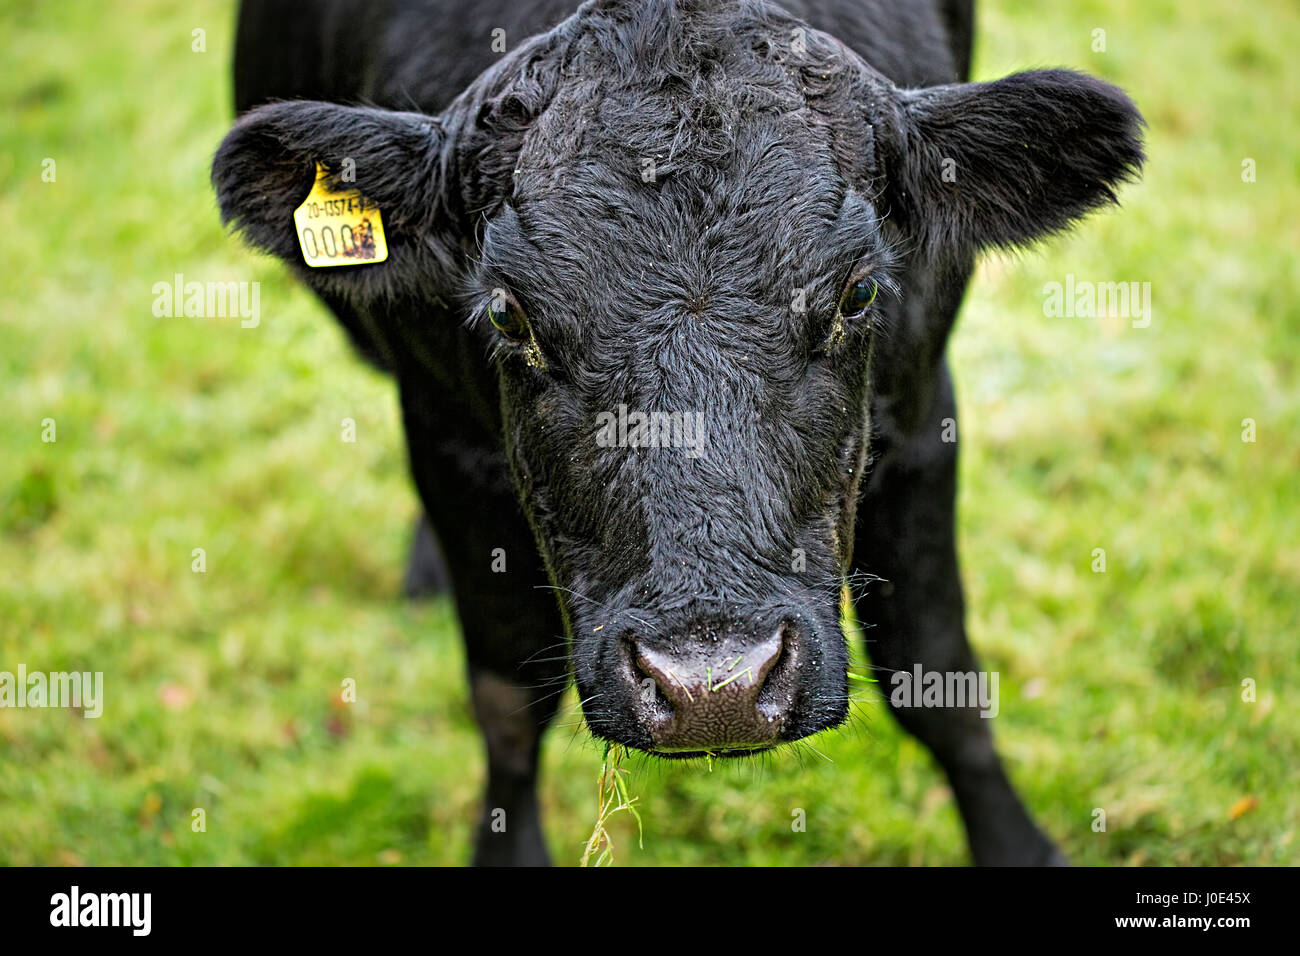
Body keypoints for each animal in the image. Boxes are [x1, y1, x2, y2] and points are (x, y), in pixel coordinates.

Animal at [213, 0, 1144, 865]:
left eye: (858, 293)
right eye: (510, 315)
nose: (712, 687)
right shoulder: (444, 437)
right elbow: (506, 704)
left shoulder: (919, 418)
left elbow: (936, 677)